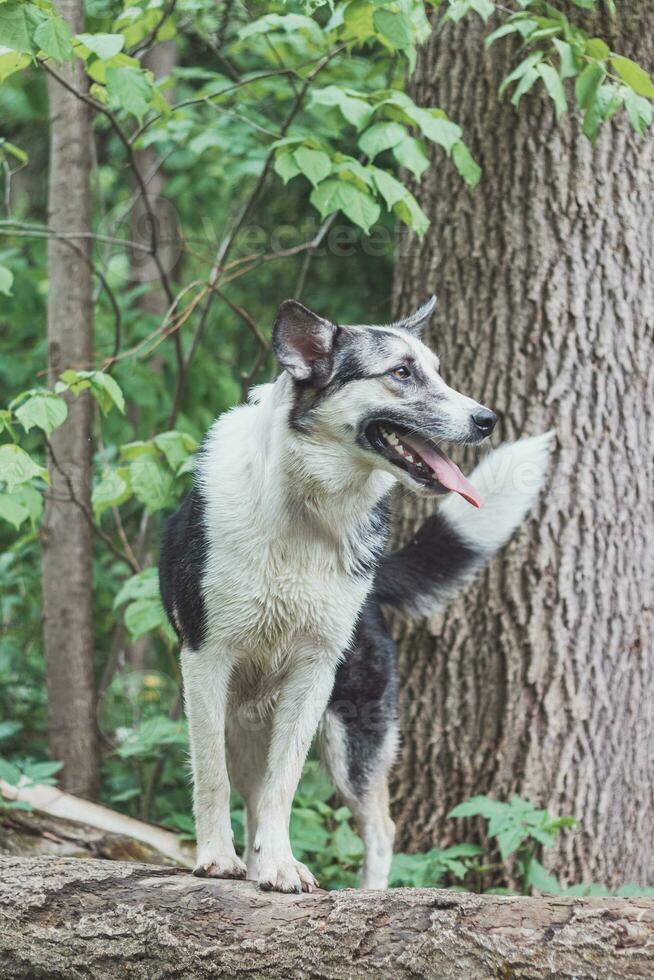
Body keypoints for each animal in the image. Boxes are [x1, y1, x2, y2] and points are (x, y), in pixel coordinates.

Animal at [160, 296, 552, 888]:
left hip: (353, 736)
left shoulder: (314, 672)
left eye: (437, 370)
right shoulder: (206, 661)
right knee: (248, 789)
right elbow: (211, 776)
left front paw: (280, 866)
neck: (308, 511)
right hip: (250, 722)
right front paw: (218, 859)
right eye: (401, 373)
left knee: (379, 827)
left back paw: (363, 890)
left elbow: (284, 785)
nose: (487, 420)